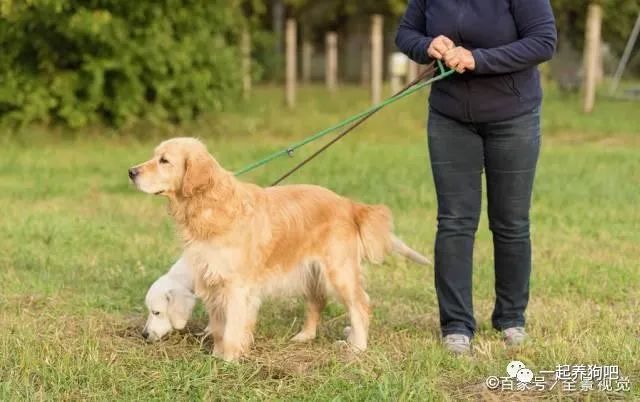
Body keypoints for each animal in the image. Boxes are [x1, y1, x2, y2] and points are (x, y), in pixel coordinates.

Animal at [129, 138, 430, 362]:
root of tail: (348, 203)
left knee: (360, 305)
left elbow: (232, 326)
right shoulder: (212, 280)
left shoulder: (236, 286)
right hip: (311, 272)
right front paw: (217, 355)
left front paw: (228, 360)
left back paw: (357, 346)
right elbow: (219, 326)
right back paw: (305, 336)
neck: (209, 207)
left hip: (338, 272)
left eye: (164, 160)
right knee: (317, 303)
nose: (131, 172)